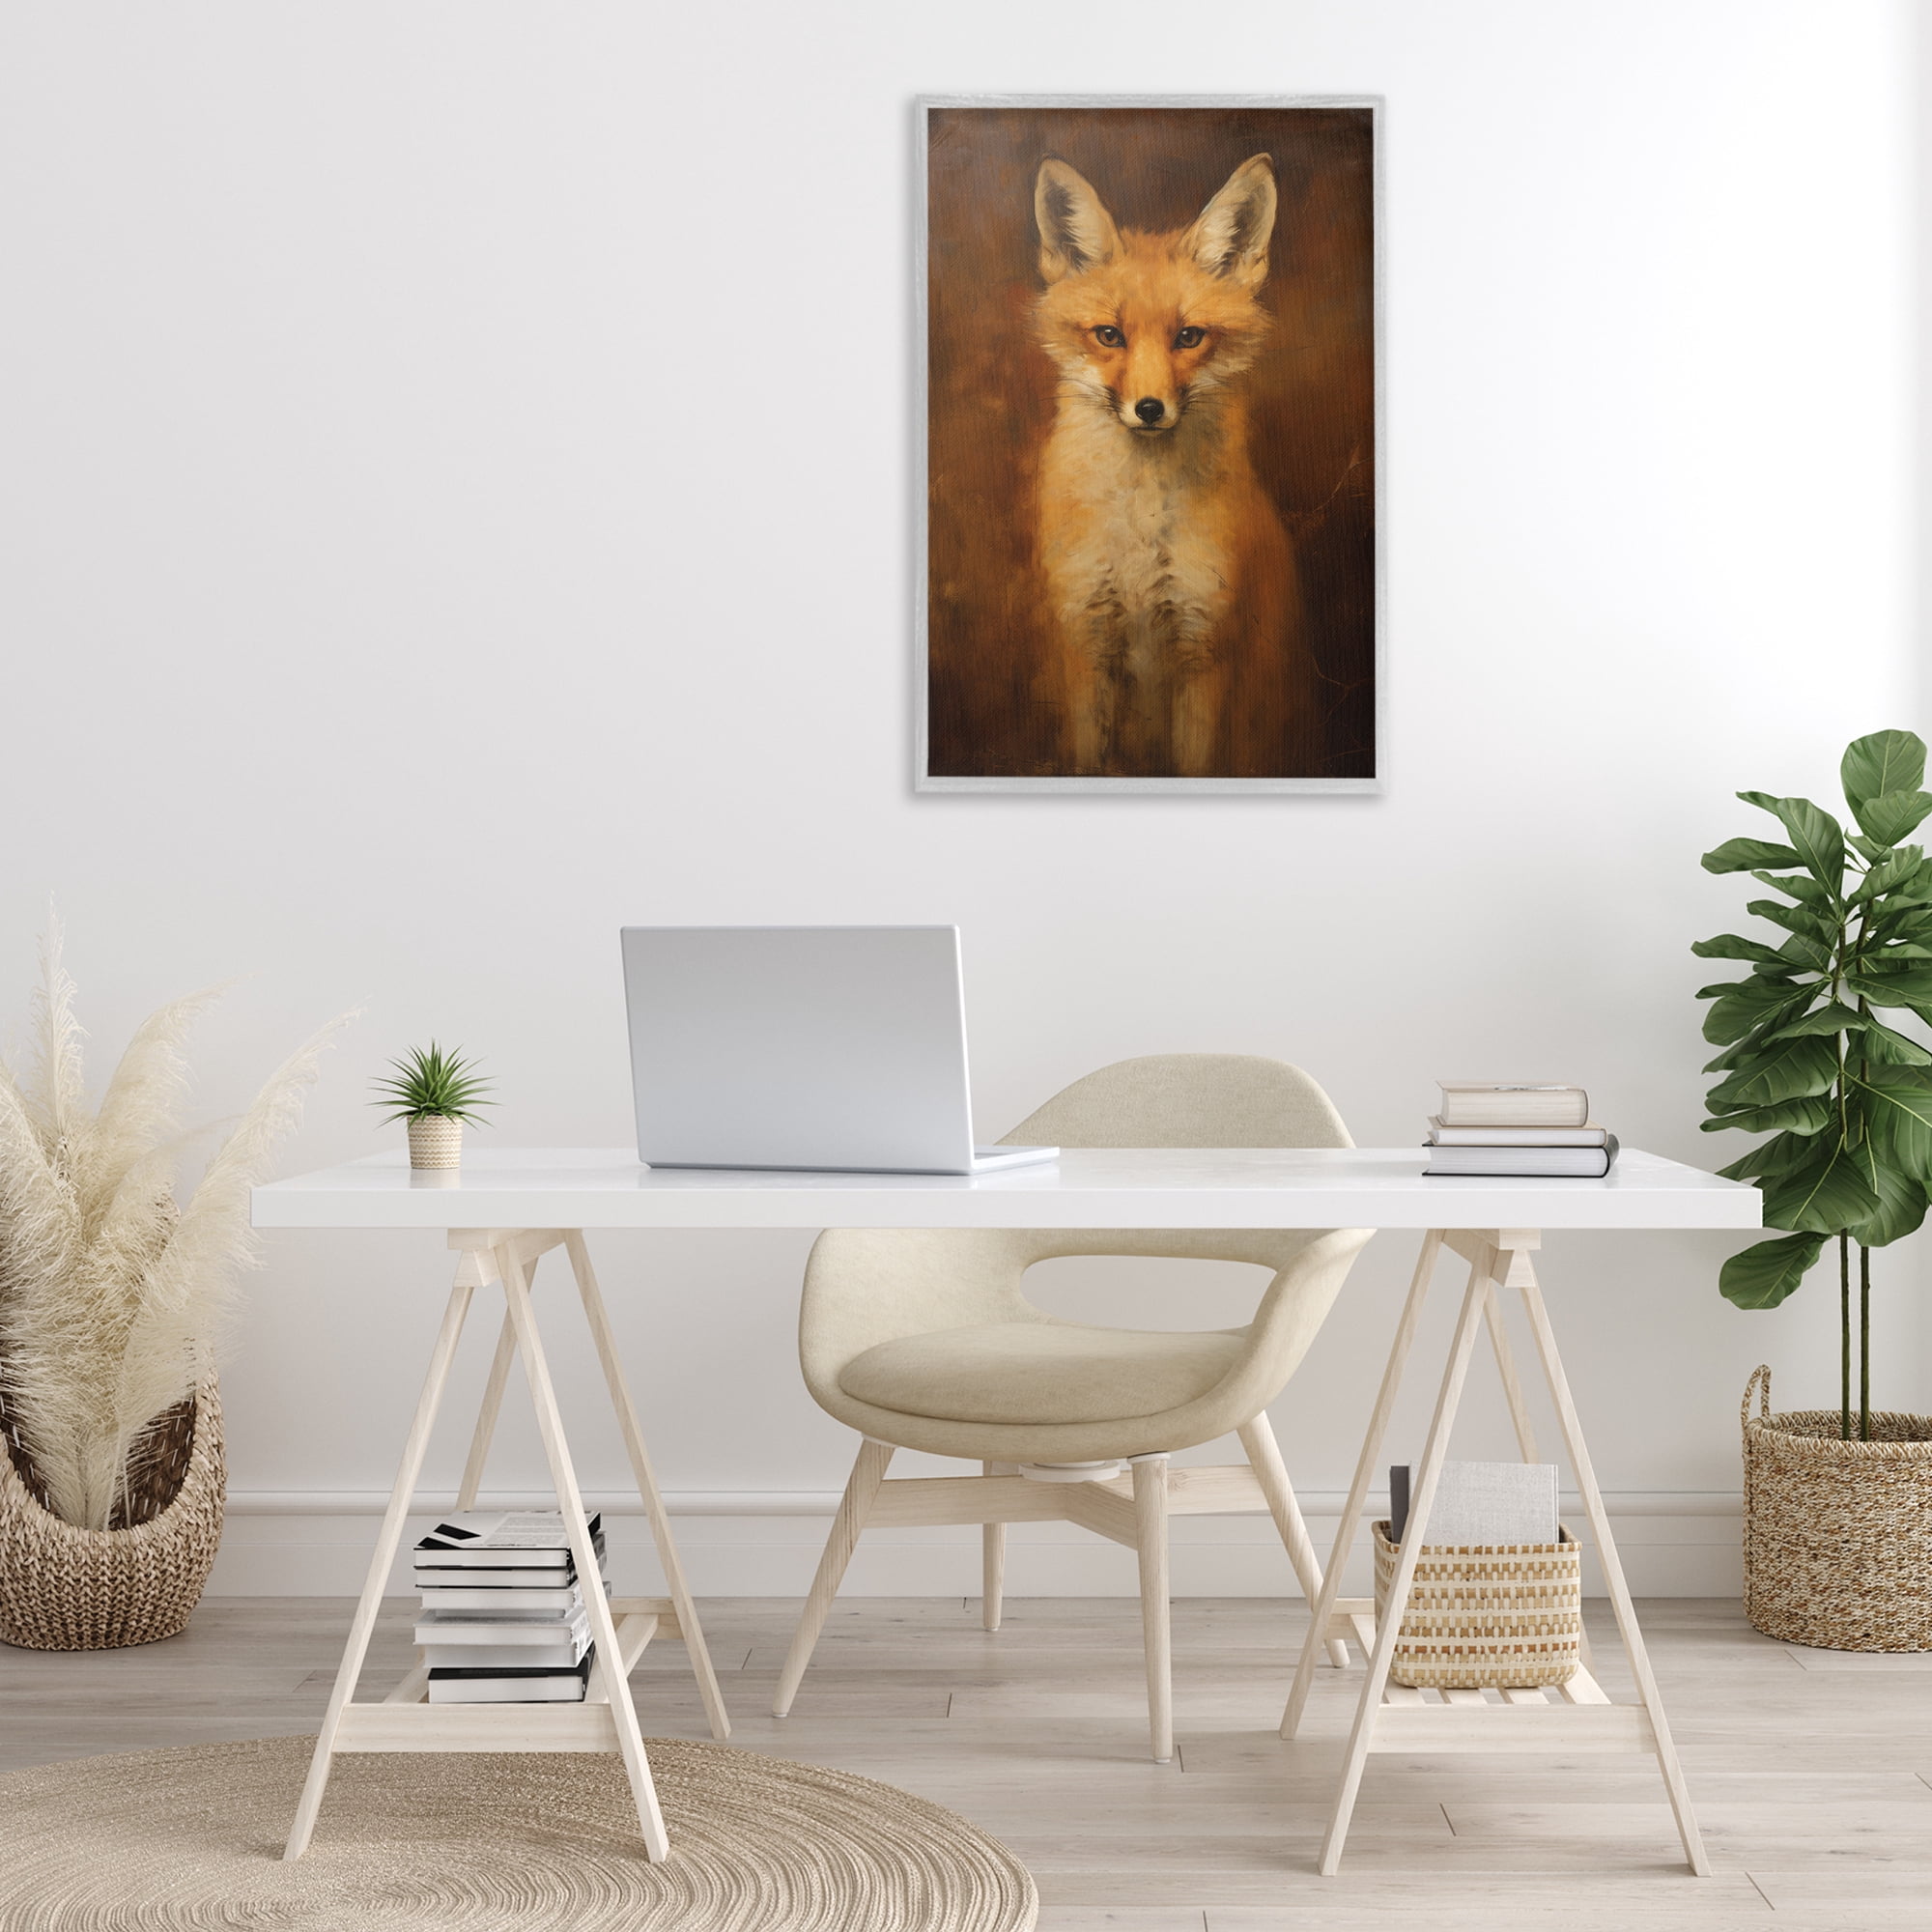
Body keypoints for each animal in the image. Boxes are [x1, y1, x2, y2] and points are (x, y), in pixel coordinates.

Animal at [1031, 153, 1313, 777]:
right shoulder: (1086, 639)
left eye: (1189, 336)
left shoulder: (1205, 648)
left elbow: (1196, 763)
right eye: (1109, 335)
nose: (1150, 409)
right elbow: (1088, 761)